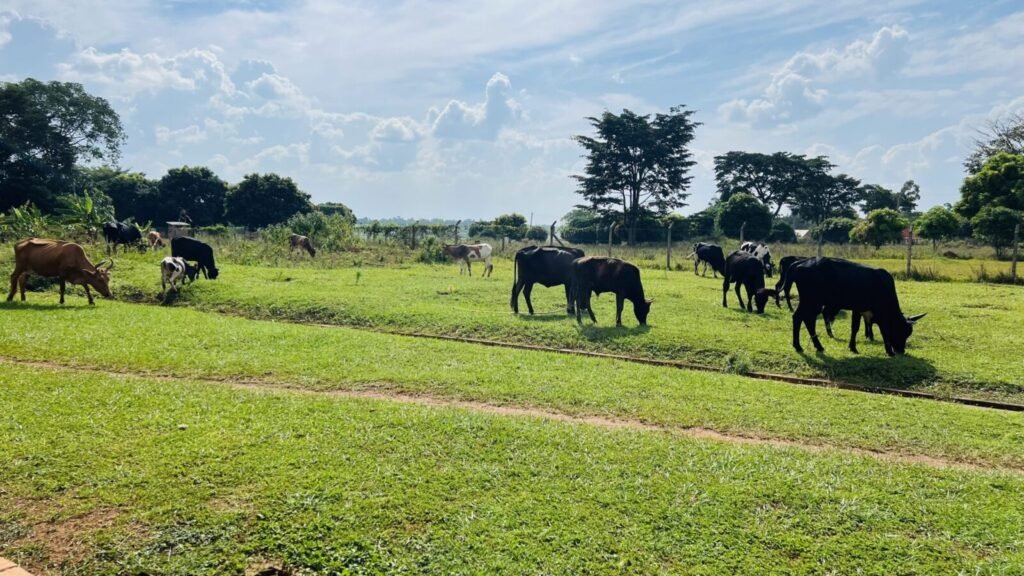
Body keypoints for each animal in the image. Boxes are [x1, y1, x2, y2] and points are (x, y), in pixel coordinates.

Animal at [783, 257, 925, 356]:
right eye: (900, 331)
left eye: (908, 333)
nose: (901, 351)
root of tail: (800, 263)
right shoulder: (862, 310)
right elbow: (860, 328)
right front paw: (888, 351)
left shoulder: (861, 310)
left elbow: (859, 328)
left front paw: (853, 347)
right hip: (812, 301)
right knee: (799, 317)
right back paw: (799, 346)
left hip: (813, 303)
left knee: (807, 320)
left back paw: (817, 346)